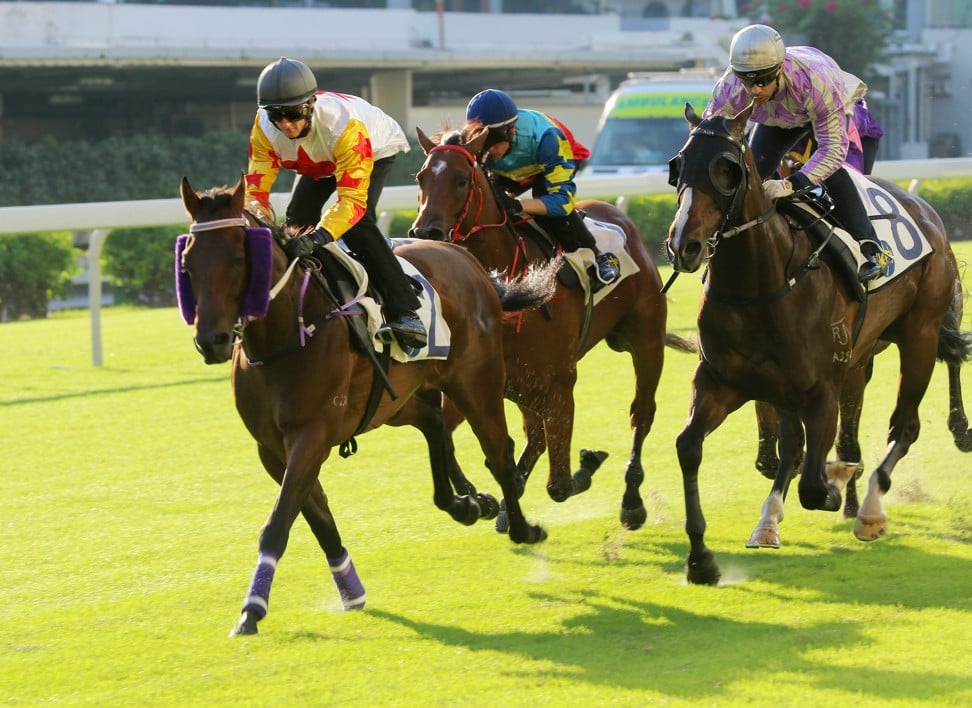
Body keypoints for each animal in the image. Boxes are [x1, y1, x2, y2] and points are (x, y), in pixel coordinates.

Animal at [178, 173, 552, 636]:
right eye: (188, 262)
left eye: (236, 257)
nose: (210, 340)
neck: (284, 334)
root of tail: (464, 257)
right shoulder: (272, 448)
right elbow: (317, 517)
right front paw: (349, 589)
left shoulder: (311, 437)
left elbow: (279, 522)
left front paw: (252, 609)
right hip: (395, 398)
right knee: (433, 421)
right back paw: (464, 503)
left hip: (476, 382)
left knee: (498, 455)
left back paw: (521, 527)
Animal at [406, 124, 672, 528]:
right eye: (421, 176)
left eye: (461, 179)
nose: (425, 232)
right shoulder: (477, 378)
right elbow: (451, 436)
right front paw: (481, 498)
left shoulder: (559, 382)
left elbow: (559, 484)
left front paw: (585, 465)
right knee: (534, 435)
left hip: (647, 341)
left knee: (640, 413)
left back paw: (631, 500)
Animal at [668, 102, 972, 584]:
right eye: (677, 166)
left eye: (726, 169)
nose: (685, 245)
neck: (760, 283)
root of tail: (926, 212)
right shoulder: (723, 382)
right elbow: (689, 447)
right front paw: (701, 559)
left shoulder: (822, 388)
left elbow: (814, 484)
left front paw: (838, 479)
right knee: (804, 443)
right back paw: (776, 516)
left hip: (920, 334)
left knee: (906, 424)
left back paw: (870, 508)